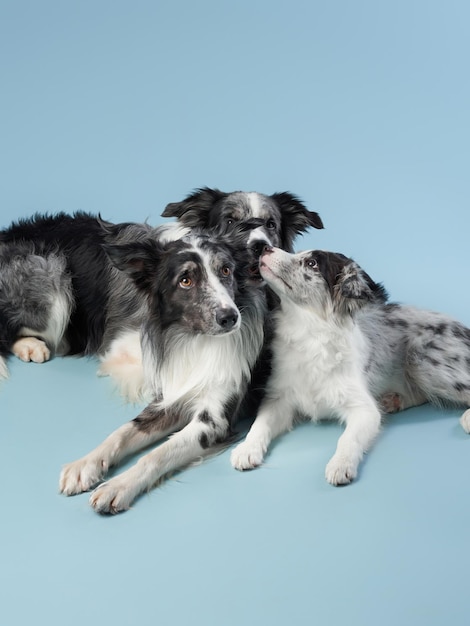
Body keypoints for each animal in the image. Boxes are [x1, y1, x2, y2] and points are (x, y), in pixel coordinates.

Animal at [230, 246, 470, 486]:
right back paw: (393, 400)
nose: (266, 248)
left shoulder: (364, 410)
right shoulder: (278, 399)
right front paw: (246, 449)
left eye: (312, 264)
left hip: (423, 359)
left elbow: (348, 439)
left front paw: (340, 465)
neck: (309, 335)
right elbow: (259, 424)